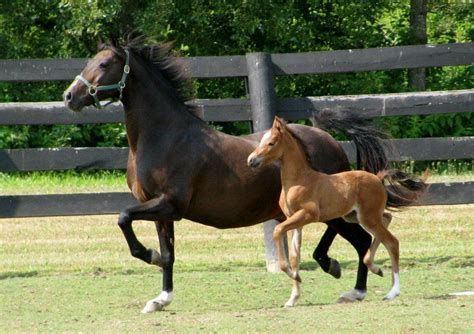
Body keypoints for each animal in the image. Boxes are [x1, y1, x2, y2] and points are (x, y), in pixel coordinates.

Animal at [63, 38, 388, 314]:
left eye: (104, 64)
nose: (69, 97)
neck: (165, 137)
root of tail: (328, 138)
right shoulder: (160, 211)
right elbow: (167, 254)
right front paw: (160, 299)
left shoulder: (169, 204)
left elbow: (123, 217)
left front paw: (149, 255)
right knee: (356, 238)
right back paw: (338, 274)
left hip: (331, 209)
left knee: (360, 239)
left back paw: (350, 285)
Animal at [246, 117, 428, 306]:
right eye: (261, 140)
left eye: (271, 143)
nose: (251, 160)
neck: (299, 180)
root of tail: (378, 178)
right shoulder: (296, 221)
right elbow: (296, 257)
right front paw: (293, 297)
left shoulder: (308, 215)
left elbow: (277, 230)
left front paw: (291, 274)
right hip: (355, 216)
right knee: (387, 218)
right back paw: (375, 268)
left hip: (367, 218)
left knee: (392, 242)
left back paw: (392, 291)